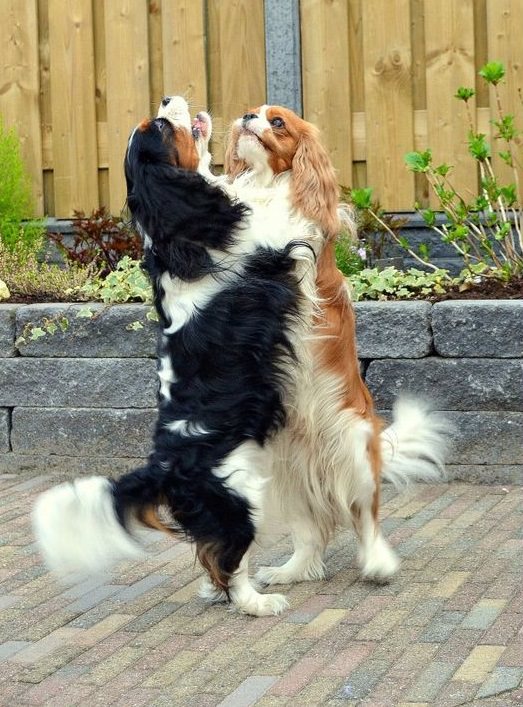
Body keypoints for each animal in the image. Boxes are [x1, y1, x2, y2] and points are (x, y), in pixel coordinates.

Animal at [32, 97, 324, 616]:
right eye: (162, 126)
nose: (168, 99)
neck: (183, 235)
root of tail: (163, 465)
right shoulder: (267, 244)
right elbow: (277, 211)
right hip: (239, 495)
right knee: (228, 560)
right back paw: (256, 602)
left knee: (212, 554)